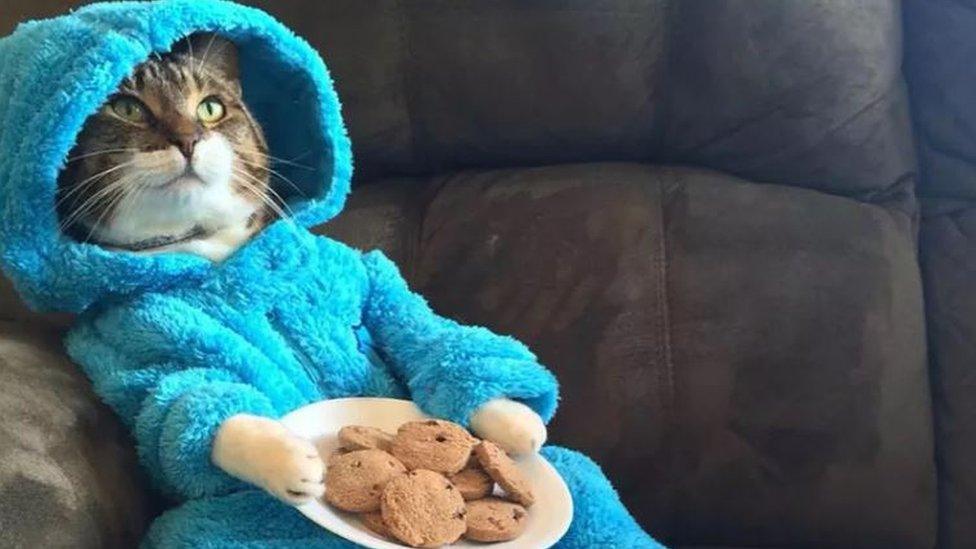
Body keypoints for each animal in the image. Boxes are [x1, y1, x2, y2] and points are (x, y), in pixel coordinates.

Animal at [61, 33, 544, 506]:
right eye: (127, 107)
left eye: (210, 108)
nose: (188, 139)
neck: (218, 254)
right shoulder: (130, 342)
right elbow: (181, 402)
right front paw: (283, 456)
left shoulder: (367, 277)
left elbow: (417, 329)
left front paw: (509, 414)